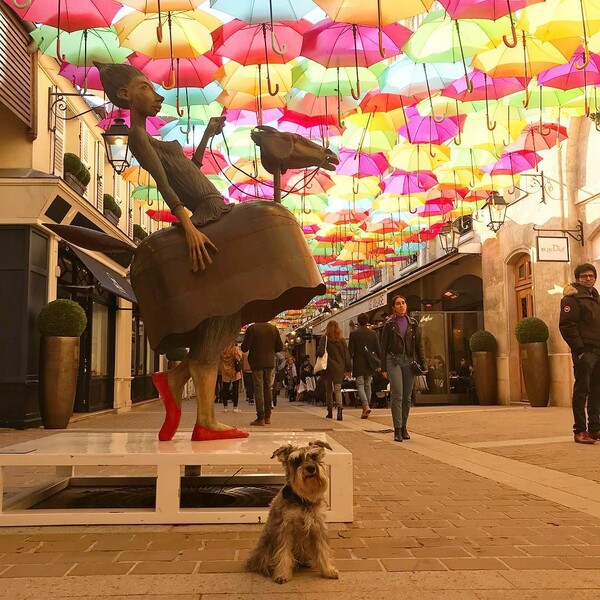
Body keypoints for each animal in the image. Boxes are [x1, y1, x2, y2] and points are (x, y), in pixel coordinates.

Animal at [243, 438, 338, 584]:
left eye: (314, 456)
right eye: (296, 459)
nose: (311, 468)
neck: (303, 499)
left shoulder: (318, 527)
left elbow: (323, 550)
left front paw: (328, 570)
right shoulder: (285, 528)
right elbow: (283, 552)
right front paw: (282, 574)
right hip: (265, 547)